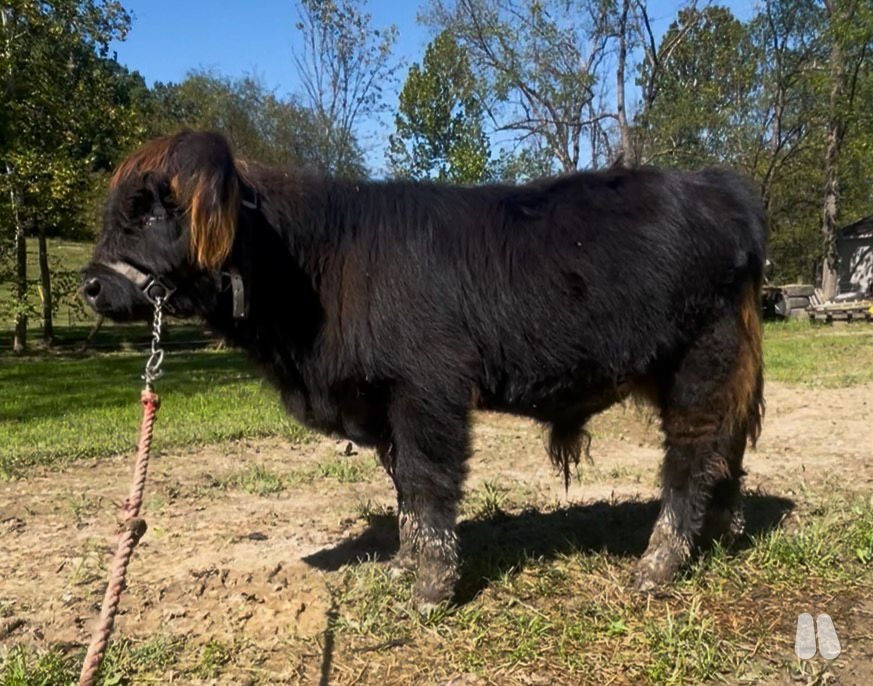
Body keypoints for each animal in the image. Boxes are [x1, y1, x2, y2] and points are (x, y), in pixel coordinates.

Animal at [81, 130, 765, 611]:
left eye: (155, 211)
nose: (90, 285)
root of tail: (717, 188)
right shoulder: (382, 403)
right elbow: (404, 487)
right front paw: (403, 565)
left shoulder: (427, 391)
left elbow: (429, 483)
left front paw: (431, 588)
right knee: (724, 453)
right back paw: (723, 534)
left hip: (700, 365)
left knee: (689, 460)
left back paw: (657, 566)